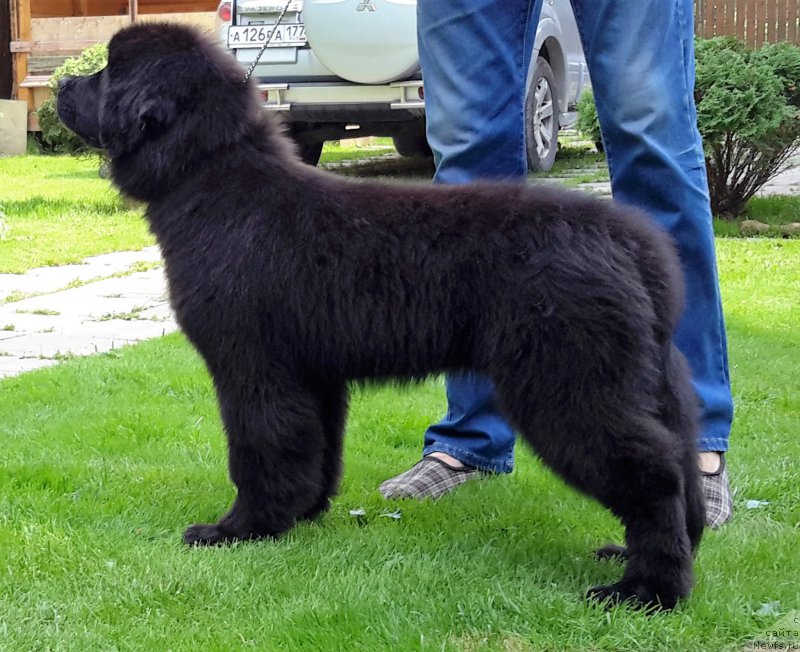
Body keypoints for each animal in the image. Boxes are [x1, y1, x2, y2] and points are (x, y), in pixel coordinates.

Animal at [59, 22, 704, 608]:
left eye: (108, 71)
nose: (63, 83)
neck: (209, 177)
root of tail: (631, 242)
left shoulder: (253, 366)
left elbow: (258, 449)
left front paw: (239, 530)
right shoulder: (312, 375)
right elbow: (314, 450)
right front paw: (301, 515)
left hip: (569, 382)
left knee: (654, 475)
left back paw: (647, 590)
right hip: (647, 378)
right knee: (682, 462)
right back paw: (646, 557)